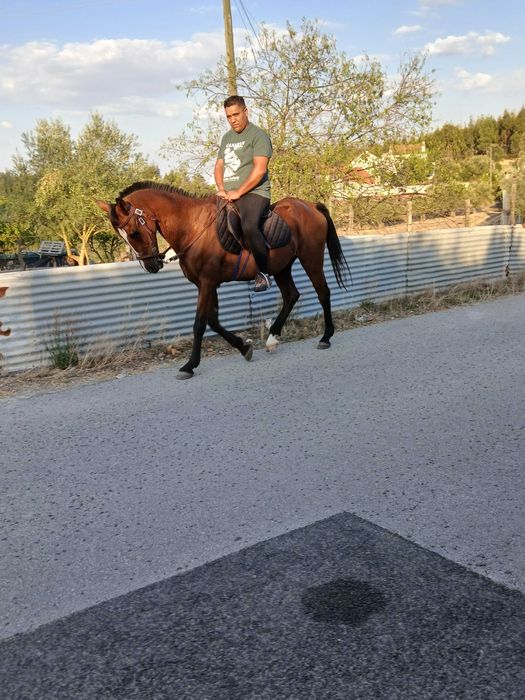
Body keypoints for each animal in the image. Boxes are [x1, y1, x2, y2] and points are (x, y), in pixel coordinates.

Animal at [96, 181, 349, 379]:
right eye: (125, 236)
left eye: (134, 233)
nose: (151, 266)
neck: (192, 226)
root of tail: (310, 206)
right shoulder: (209, 284)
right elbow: (213, 320)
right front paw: (244, 347)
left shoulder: (207, 283)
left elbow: (200, 323)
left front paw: (189, 365)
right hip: (282, 267)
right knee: (291, 296)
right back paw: (272, 338)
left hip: (311, 258)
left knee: (323, 292)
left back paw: (326, 337)